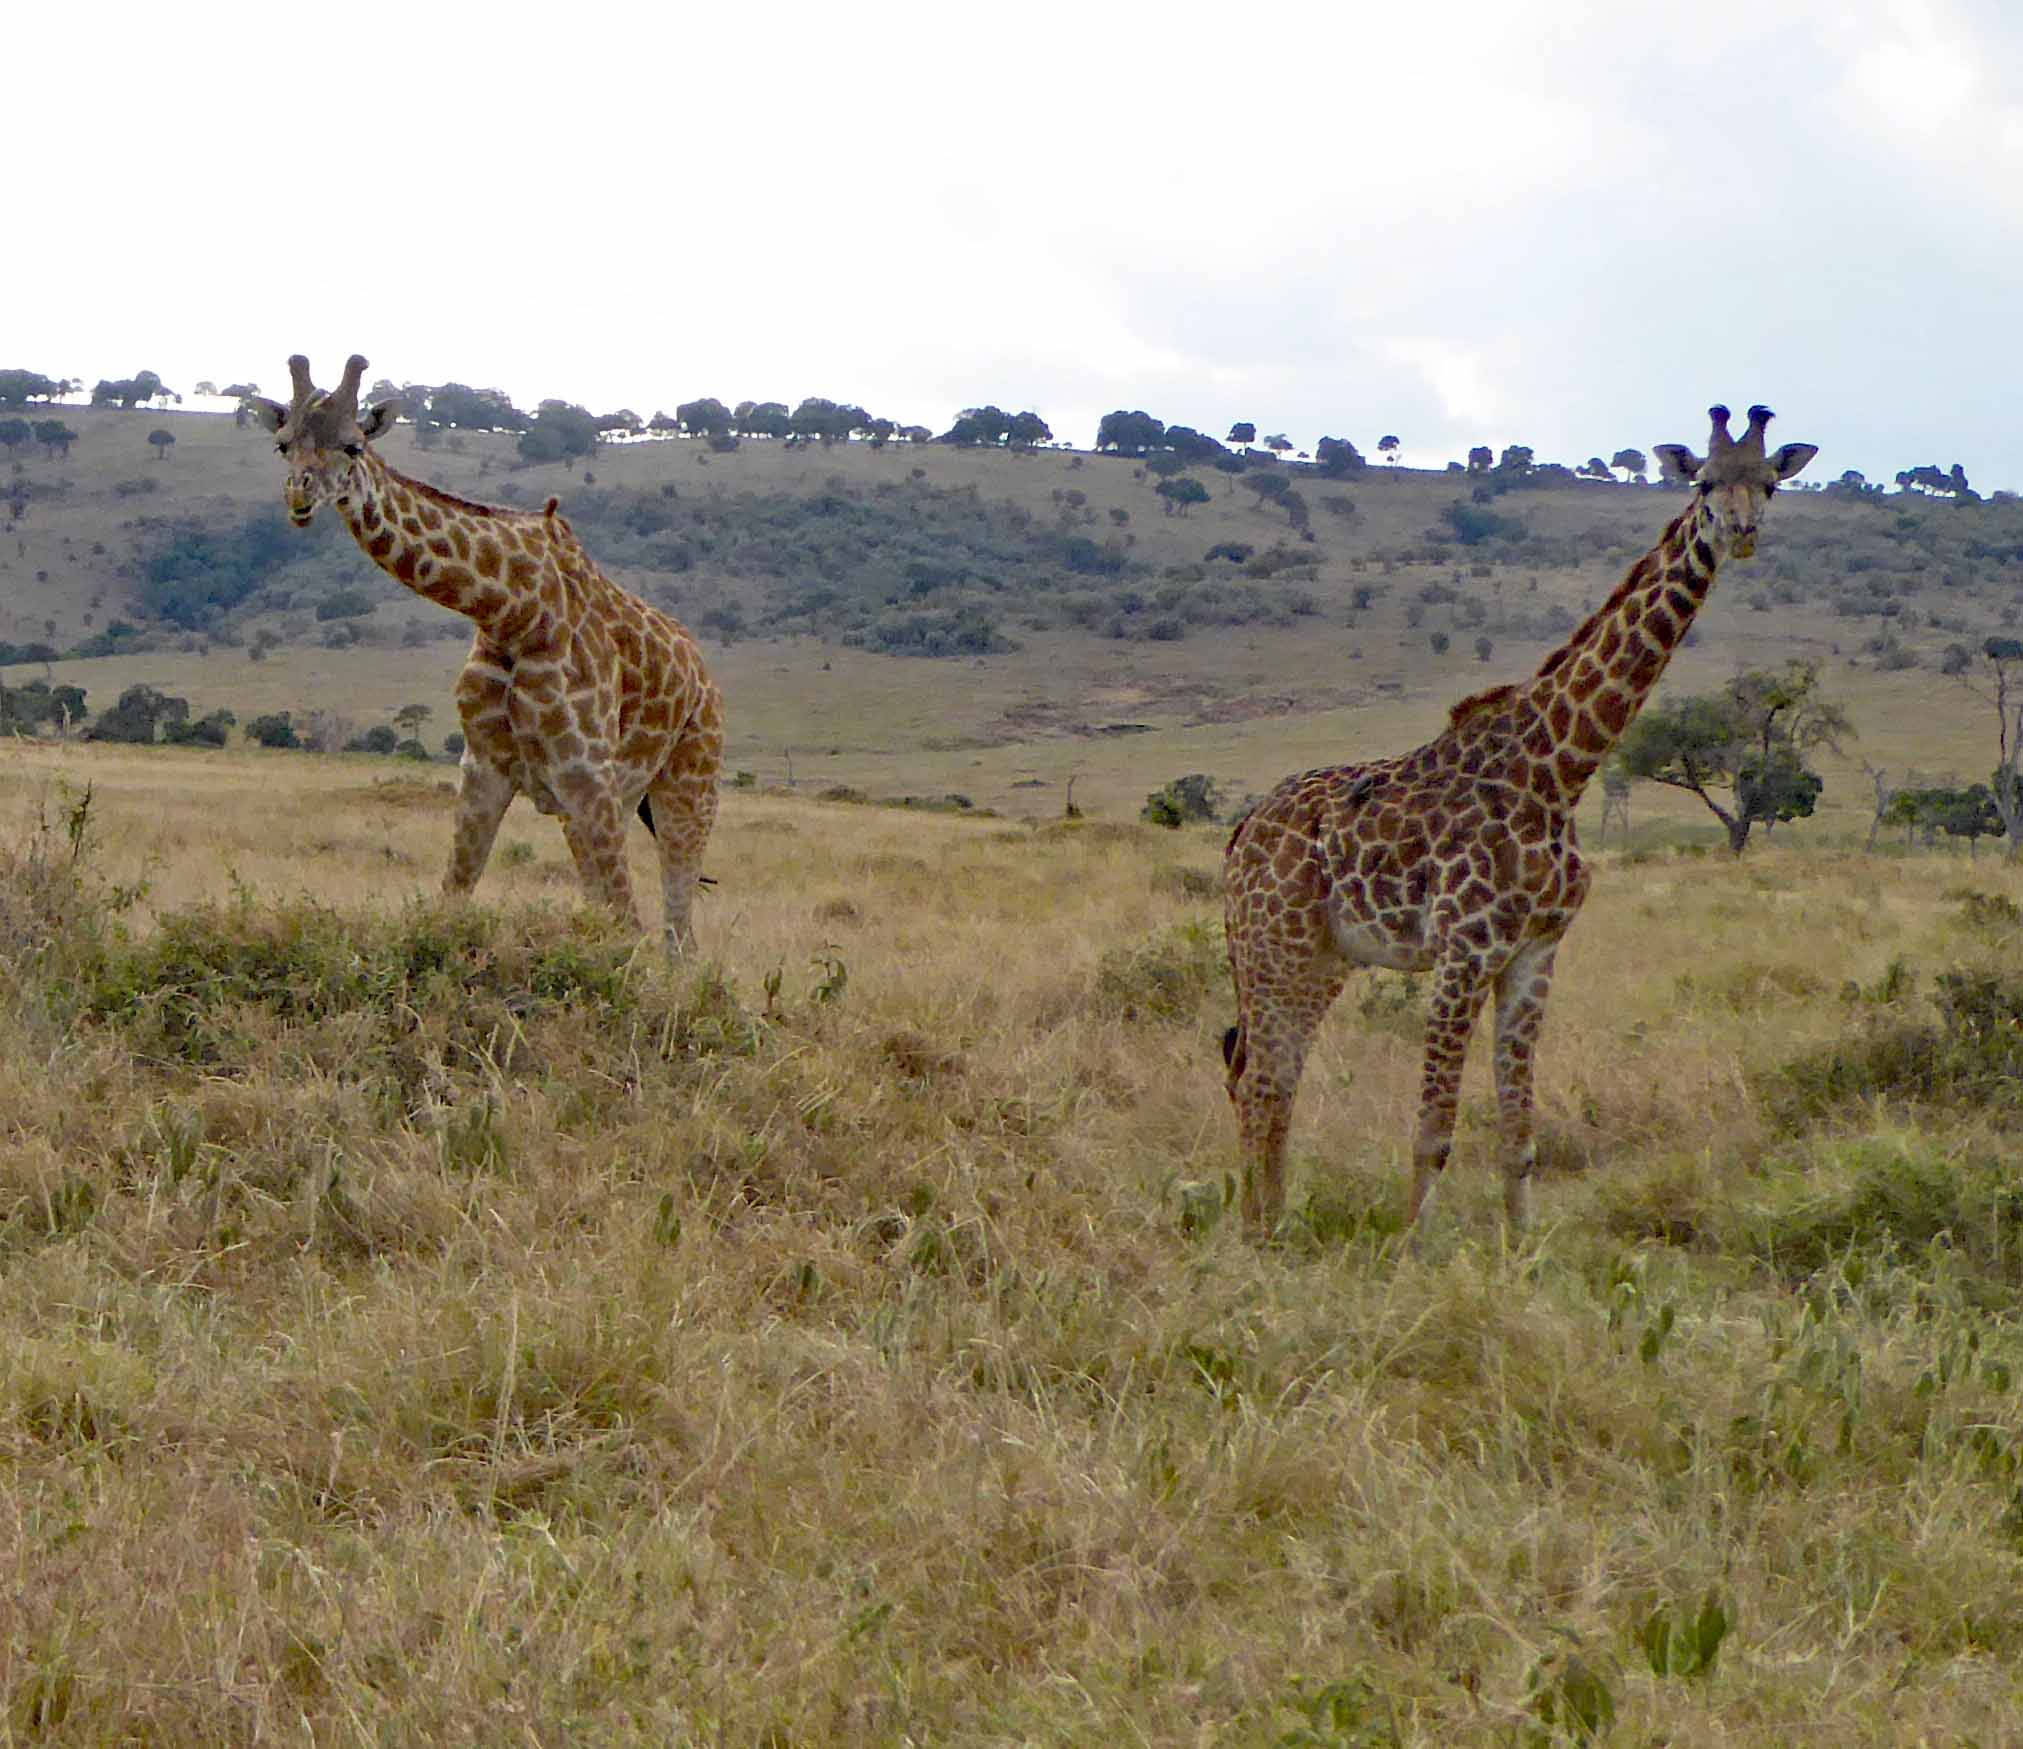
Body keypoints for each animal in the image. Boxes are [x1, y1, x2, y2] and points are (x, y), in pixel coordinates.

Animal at [249, 357, 728, 954]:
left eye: (353, 445)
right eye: (282, 445)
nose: (300, 496)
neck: (512, 612)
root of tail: (704, 676)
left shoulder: (587, 769)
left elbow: (628, 926)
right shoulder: (485, 767)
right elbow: (452, 898)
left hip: (689, 782)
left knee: (678, 934)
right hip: (609, 802)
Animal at [1221, 402, 1828, 1237]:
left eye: (1769, 484)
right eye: (1703, 482)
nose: (1739, 532)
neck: (1559, 770)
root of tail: (1239, 836)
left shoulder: (1534, 955)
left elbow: (1517, 1134)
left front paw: (1520, 1249)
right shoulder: (1462, 950)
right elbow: (1434, 1130)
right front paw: (1412, 1250)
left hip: (1319, 956)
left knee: (1267, 1075)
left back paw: (1272, 1221)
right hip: (1274, 947)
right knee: (1258, 1080)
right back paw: (1257, 1233)